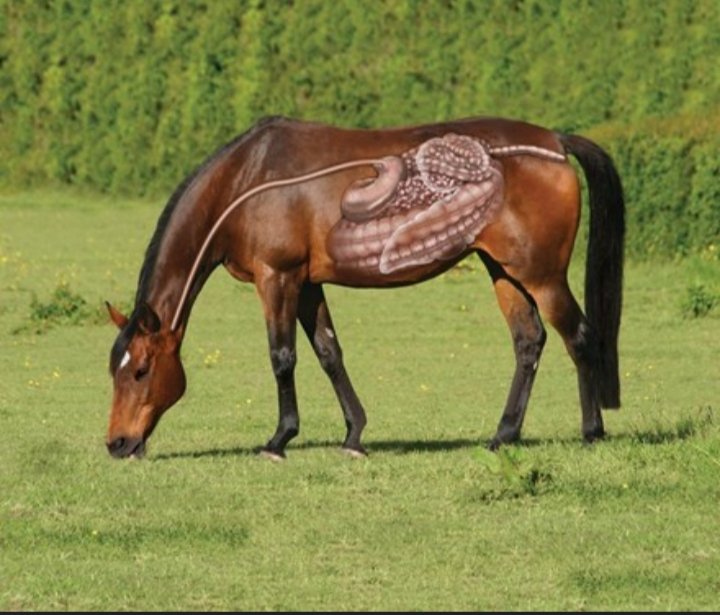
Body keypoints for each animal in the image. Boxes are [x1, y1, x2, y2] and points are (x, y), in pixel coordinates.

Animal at [104, 115, 624, 460]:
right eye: (116, 369)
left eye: (141, 371)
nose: (117, 443)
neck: (247, 180)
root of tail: (554, 142)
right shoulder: (307, 284)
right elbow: (329, 353)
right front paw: (354, 435)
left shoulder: (278, 277)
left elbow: (283, 357)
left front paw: (279, 439)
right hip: (504, 270)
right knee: (528, 342)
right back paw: (503, 435)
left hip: (541, 274)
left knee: (579, 336)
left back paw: (591, 432)